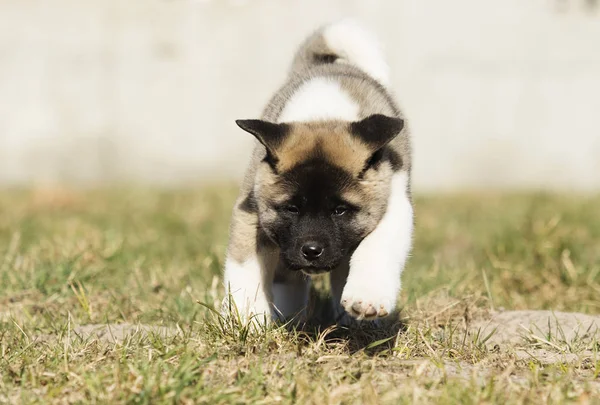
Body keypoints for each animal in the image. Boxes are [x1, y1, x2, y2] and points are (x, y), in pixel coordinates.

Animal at [224, 19, 412, 326]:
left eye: (340, 210)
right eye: (291, 208)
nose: (311, 252)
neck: (324, 114)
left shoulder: (394, 202)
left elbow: (376, 247)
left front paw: (366, 298)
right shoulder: (251, 210)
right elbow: (246, 265)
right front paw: (247, 317)